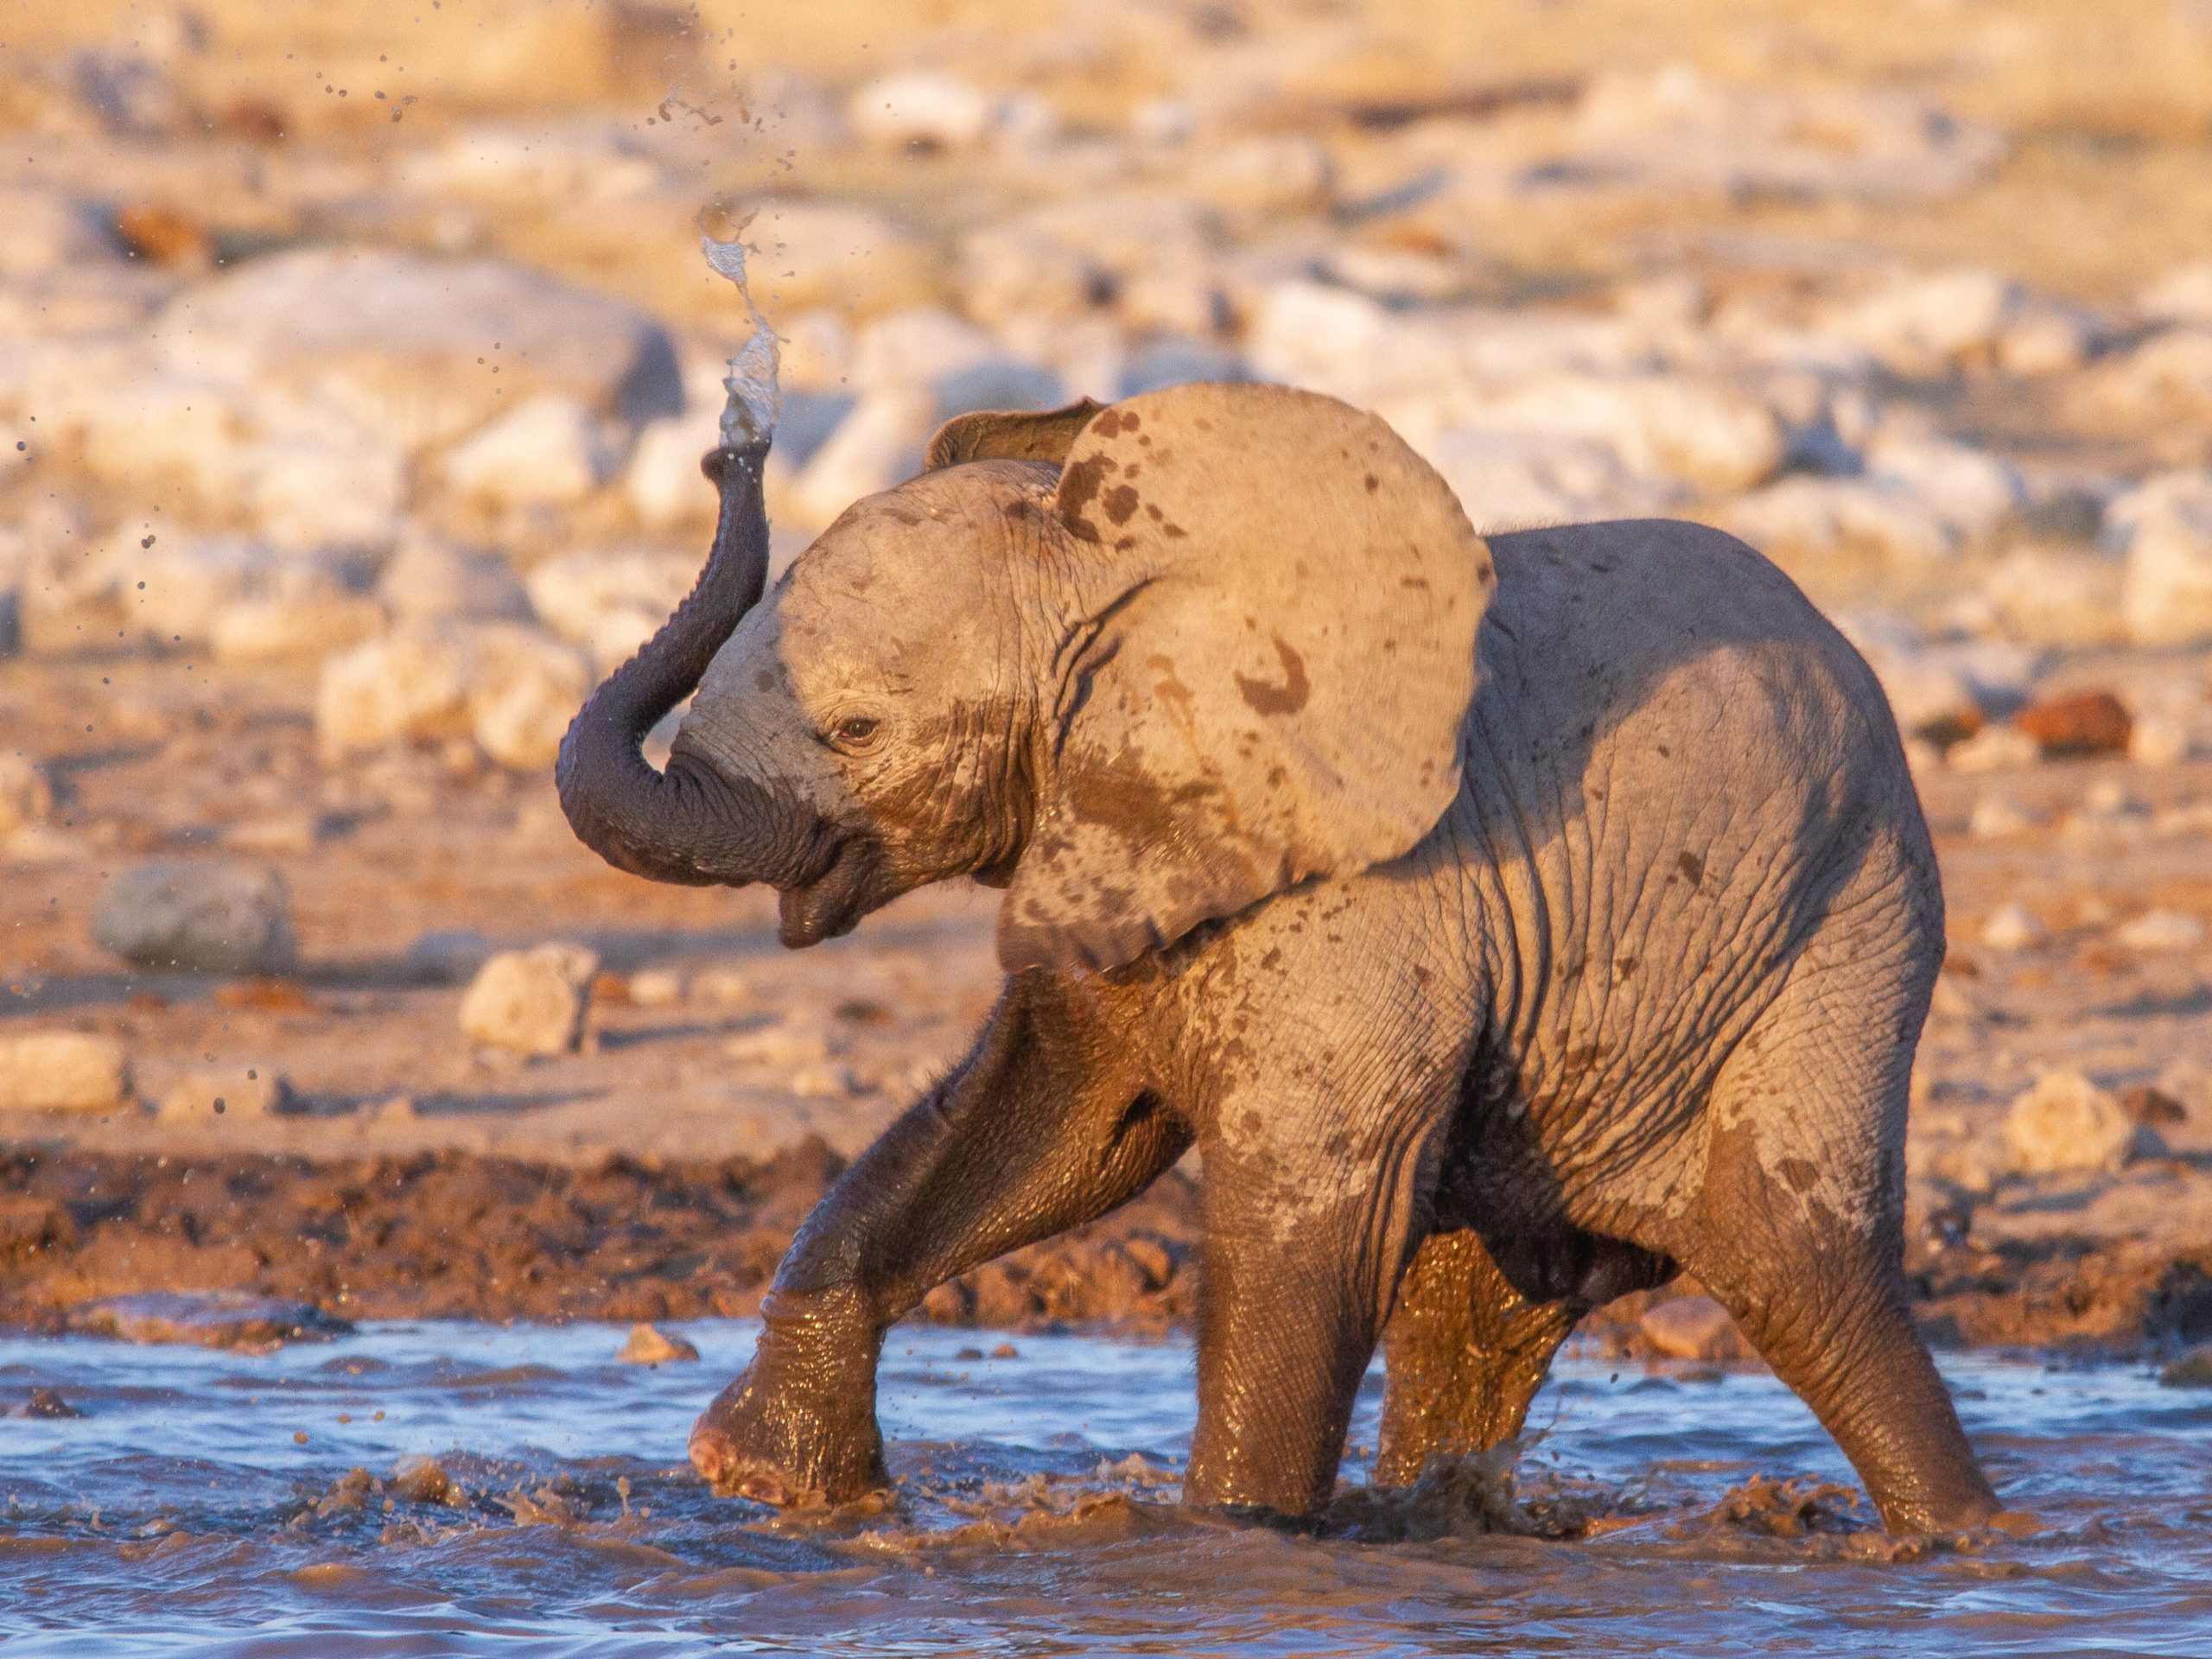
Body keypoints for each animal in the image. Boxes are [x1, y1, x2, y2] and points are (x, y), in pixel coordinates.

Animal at [557, 382, 2008, 1539]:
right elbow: (1053, 1136)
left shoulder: (1365, 894)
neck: (1130, 587)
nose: (734, 440)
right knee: (1472, 1317)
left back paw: (1963, 1542)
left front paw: (1234, 1539)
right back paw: (1451, 1520)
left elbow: (1310, 1231)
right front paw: (770, 1487)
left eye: (855, 730)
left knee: (1797, 1273)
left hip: (1839, 929)